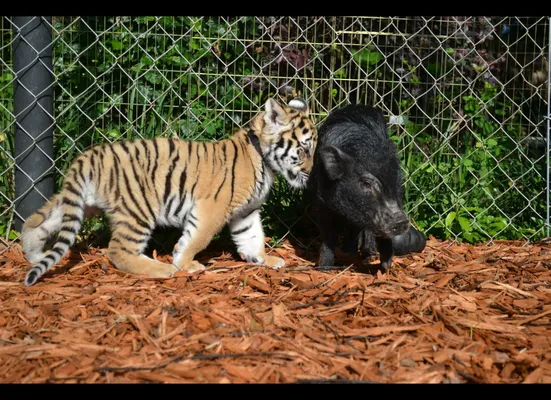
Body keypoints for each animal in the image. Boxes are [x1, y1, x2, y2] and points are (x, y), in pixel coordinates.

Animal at [310, 104, 418, 272]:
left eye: (396, 181)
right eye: (366, 184)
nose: (401, 221)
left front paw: (385, 267)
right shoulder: (320, 200)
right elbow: (328, 234)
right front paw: (324, 268)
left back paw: (367, 253)